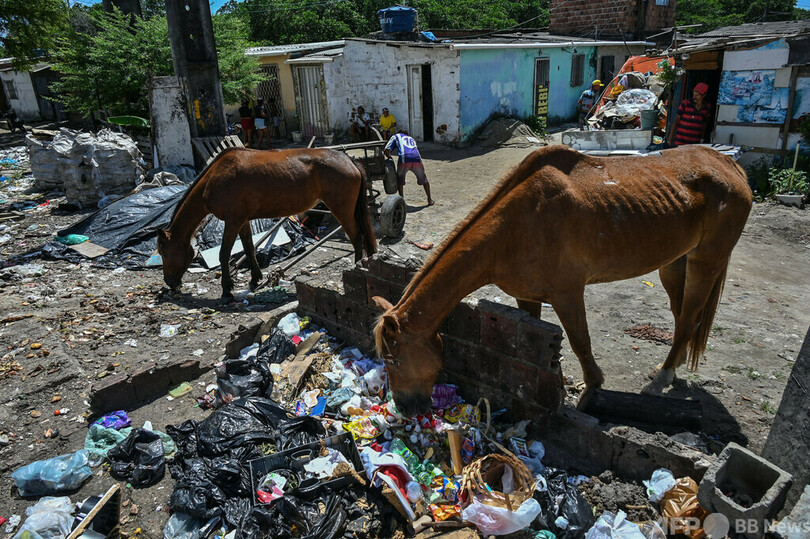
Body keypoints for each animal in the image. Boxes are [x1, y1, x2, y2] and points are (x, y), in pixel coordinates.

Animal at [156, 148, 378, 300]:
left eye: (164, 252)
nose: (169, 282)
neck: (213, 178)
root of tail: (349, 160)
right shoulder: (243, 221)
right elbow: (249, 248)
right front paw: (255, 278)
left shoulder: (232, 220)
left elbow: (224, 253)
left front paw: (227, 288)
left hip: (341, 210)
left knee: (356, 237)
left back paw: (356, 267)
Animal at [372, 144, 752, 418]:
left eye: (393, 360)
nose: (405, 410)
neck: (512, 229)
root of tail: (730, 166)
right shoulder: (527, 297)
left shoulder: (567, 294)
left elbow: (581, 342)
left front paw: (592, 390)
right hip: (674, 263)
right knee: (683, 317)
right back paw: (670, 369)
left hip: (706, 262)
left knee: (688, 319)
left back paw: (661, 379)